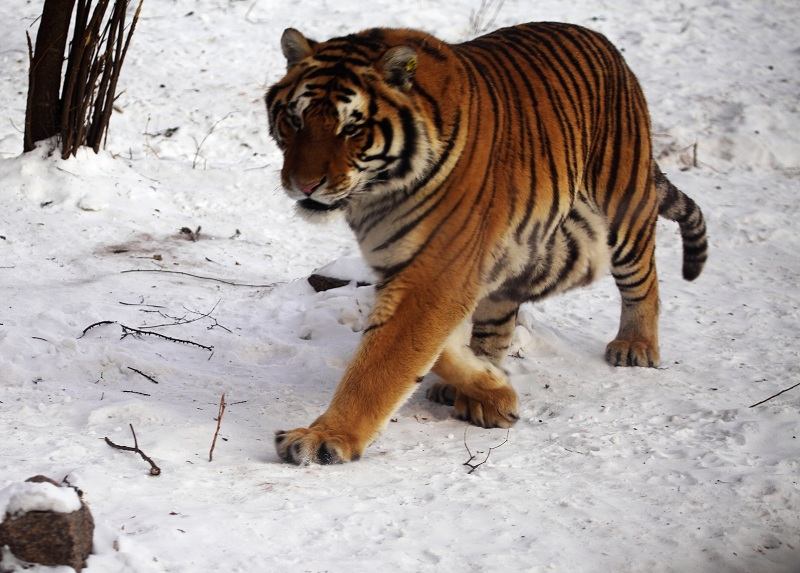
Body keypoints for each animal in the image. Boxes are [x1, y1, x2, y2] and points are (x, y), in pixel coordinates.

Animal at [268, 21, 708, 464]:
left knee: (643, 279)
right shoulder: (407, 266)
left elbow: (381, 362)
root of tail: (605, 44)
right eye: (295, 120)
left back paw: (635, 345)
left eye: (351, 129)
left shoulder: (435, 274)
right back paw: (474, 391)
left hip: (622, 210)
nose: (305, 184)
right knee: (499, 318)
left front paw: (326, 438)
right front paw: (492, 387)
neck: (376, 194)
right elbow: (430, 347)